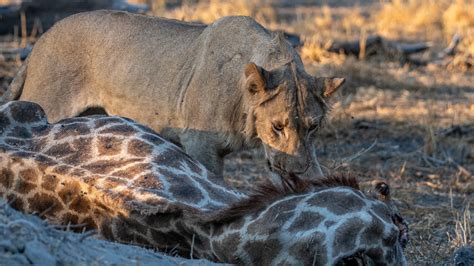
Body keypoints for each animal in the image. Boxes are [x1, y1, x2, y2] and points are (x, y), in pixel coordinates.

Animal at [0, 10, 344, 181]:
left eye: (313, 127)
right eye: (277, 126)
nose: (298, 171)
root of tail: (42, 39)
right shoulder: (200, 144)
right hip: (47, 103)